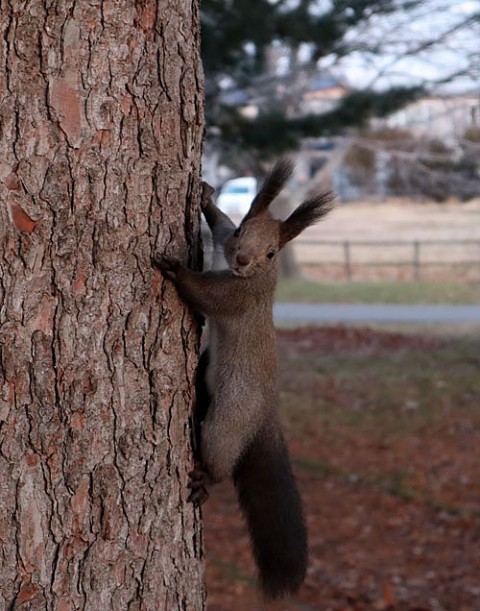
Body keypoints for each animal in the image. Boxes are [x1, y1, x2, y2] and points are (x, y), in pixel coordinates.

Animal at [154, 159, 334, 604]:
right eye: (241, 232)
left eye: (272, 253)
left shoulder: (239, 297)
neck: (253, 275)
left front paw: (176, 269)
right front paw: (207, 199)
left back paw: (205, 479)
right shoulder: (225, 247)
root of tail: (264, 415)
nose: (242, 259)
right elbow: (217, 227)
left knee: (219, 452)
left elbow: (204, 295)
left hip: (229, 417)